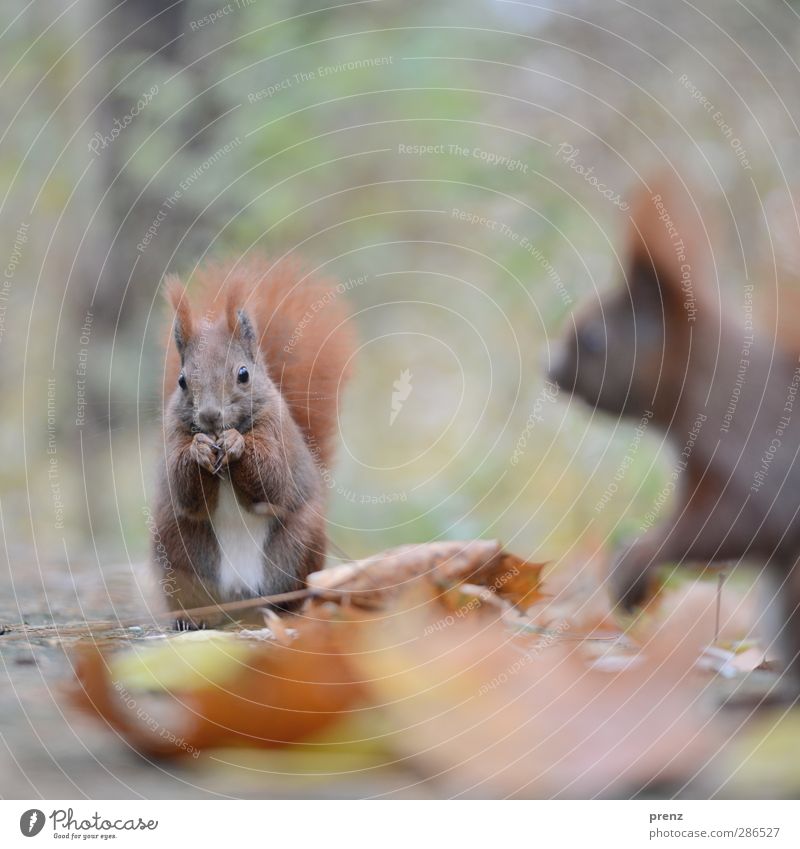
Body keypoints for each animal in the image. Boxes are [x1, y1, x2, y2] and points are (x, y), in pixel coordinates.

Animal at [153, 255, 354, 628]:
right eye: (182, 381)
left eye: (243, 374)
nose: (210, 416)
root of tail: (240, 599)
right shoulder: (173, 434)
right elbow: (184, 489)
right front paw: (199, 449)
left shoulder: (275, 431)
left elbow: (272, 482)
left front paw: (236, 443)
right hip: (177, 548)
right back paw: (190, 619)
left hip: (300, 542)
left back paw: (287, 610)